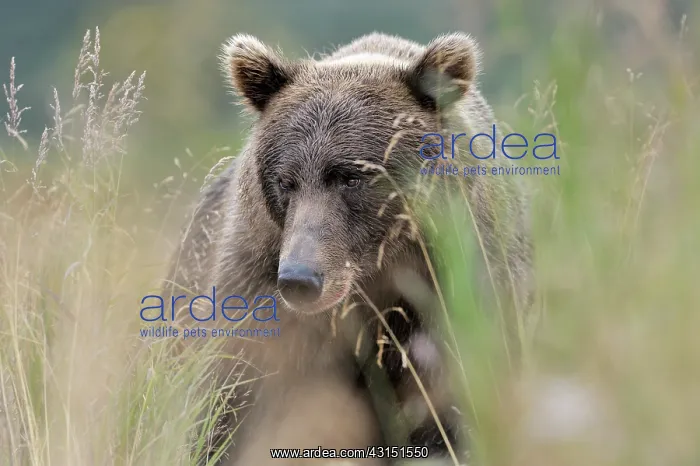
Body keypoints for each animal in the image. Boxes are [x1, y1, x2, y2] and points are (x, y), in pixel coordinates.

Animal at [164, 31, 532, 465]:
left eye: (350, 178)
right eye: (285, 181)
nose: (300, 279)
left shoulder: (458, 291)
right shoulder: (258, 285)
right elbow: (233, 400)